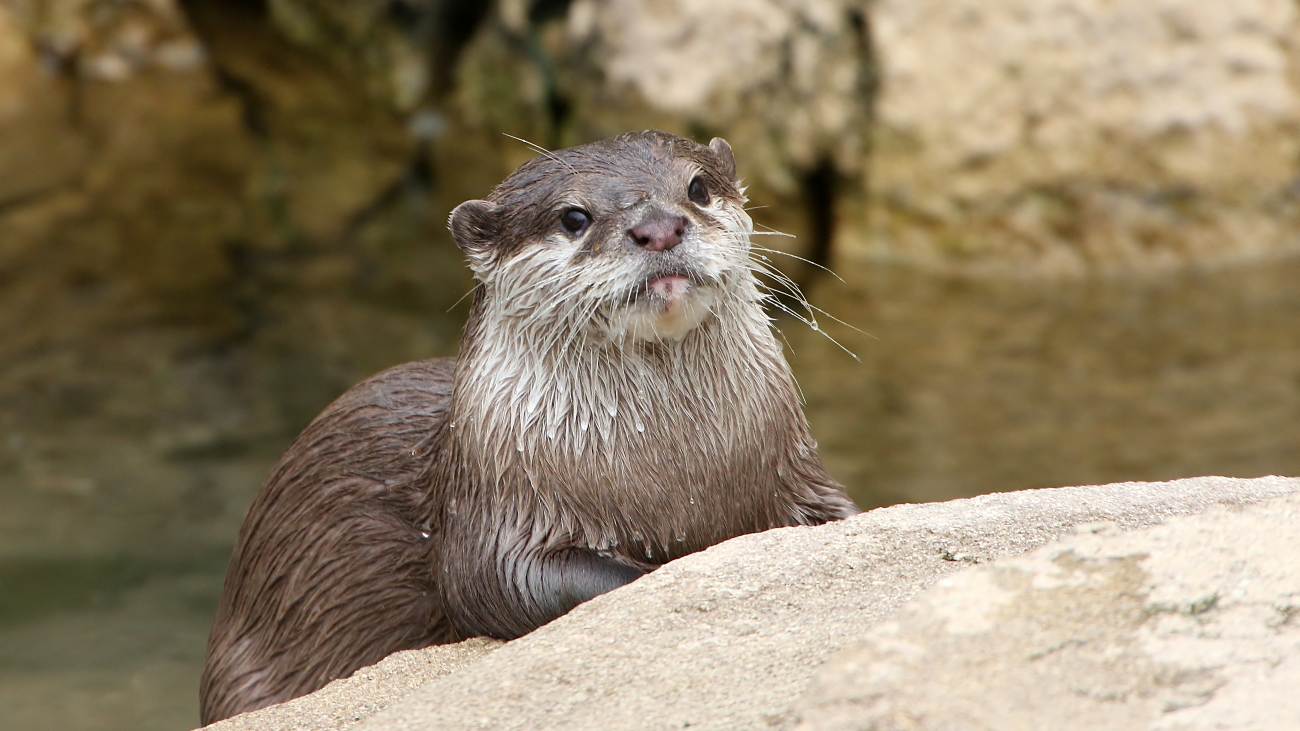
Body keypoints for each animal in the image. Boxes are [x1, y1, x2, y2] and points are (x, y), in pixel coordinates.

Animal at [199, 131, 859, 724]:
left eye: (697, 187)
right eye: (574, 217)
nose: (659, 228)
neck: (676, 475)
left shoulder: (800, 473)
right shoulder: (490, 518)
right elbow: (506, 584)